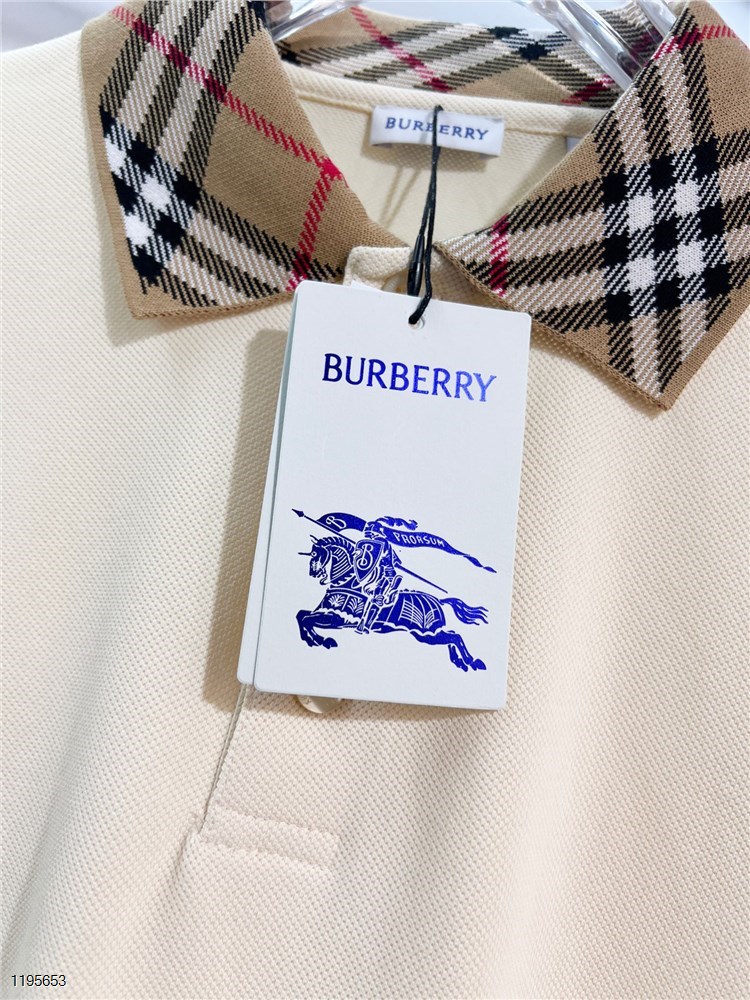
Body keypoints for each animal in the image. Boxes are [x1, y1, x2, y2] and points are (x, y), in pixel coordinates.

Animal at [296, 535, 488, 672]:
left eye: (316, 554)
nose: (313, 573)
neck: (348, 583)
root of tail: (439, 600)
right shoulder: (326, 613)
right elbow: (301, 616)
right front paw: (313, 639)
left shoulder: (338, 619)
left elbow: (306, 619)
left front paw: (322, 640)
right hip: (428, 634)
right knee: (452, 637)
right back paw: (460, 662)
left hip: (427, 634)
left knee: (455, 637)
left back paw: (472, 661)